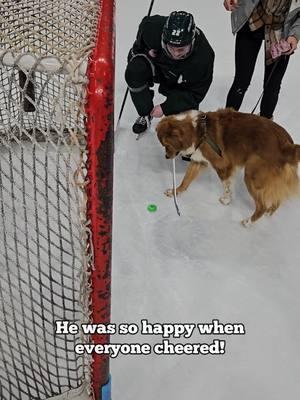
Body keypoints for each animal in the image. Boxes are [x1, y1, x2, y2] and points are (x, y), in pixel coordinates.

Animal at [155, 109, 300, 227]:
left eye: (167, 145)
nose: (166, 157)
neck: (199, 132)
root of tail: (288, 146)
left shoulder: (223, 165)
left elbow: (227, 186)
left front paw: (226, 200)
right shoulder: (198, 161)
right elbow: (186, 180)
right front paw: (175, 192)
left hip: (252, 175)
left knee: (262, 205)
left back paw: (248, 222)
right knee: (278, 197)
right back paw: (269, 212)